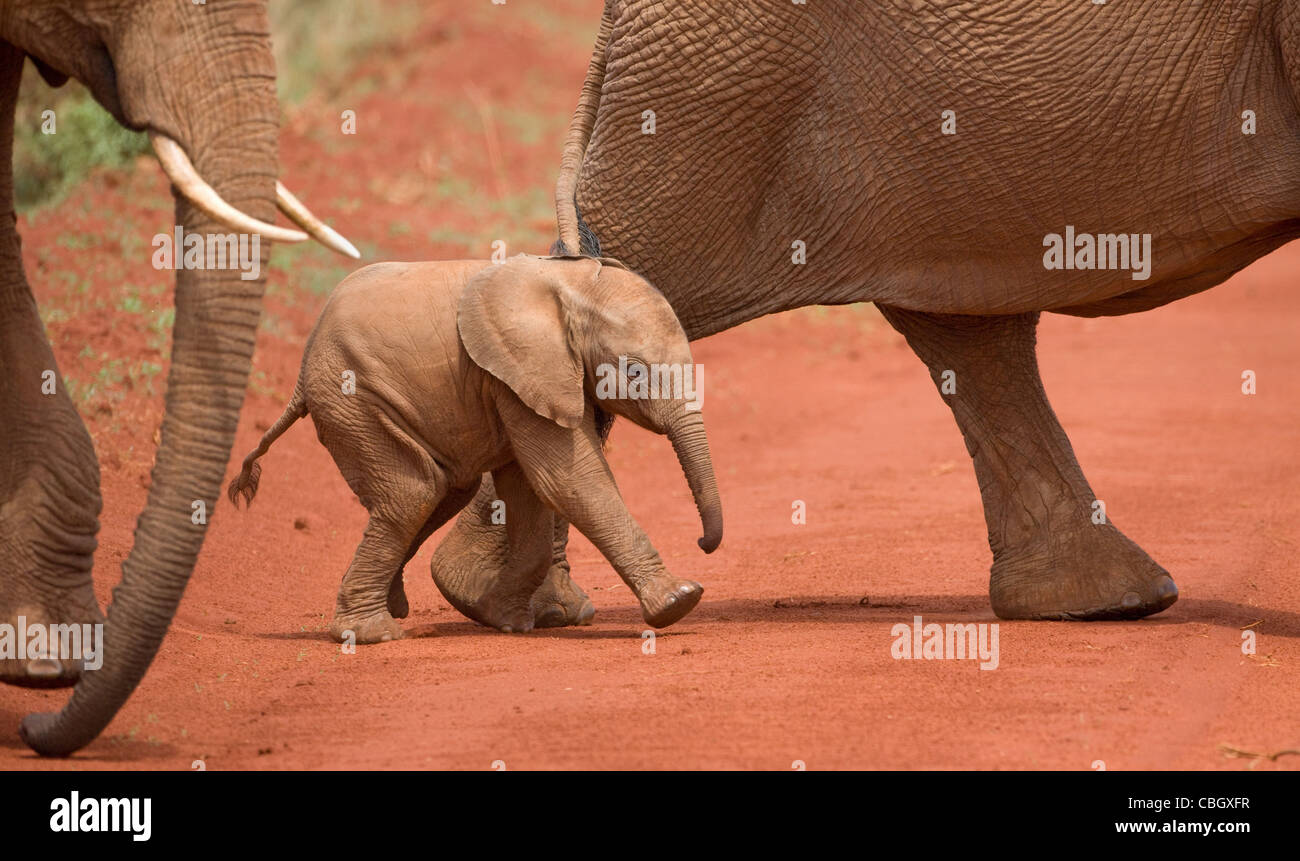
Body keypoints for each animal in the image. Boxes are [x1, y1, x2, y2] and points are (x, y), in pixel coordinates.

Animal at [230, 253, 728, 645]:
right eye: (636, 373)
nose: (703, 543)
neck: (573, 283)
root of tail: (300, 374)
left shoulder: (525, 380)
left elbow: (531, 489)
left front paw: (504, 619)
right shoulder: (518, 369)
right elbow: (567, 478)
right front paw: (680, 600)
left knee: (440, 492)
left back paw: (391, 608)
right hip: (351, 396)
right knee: (411, 493)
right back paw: (373, 633)